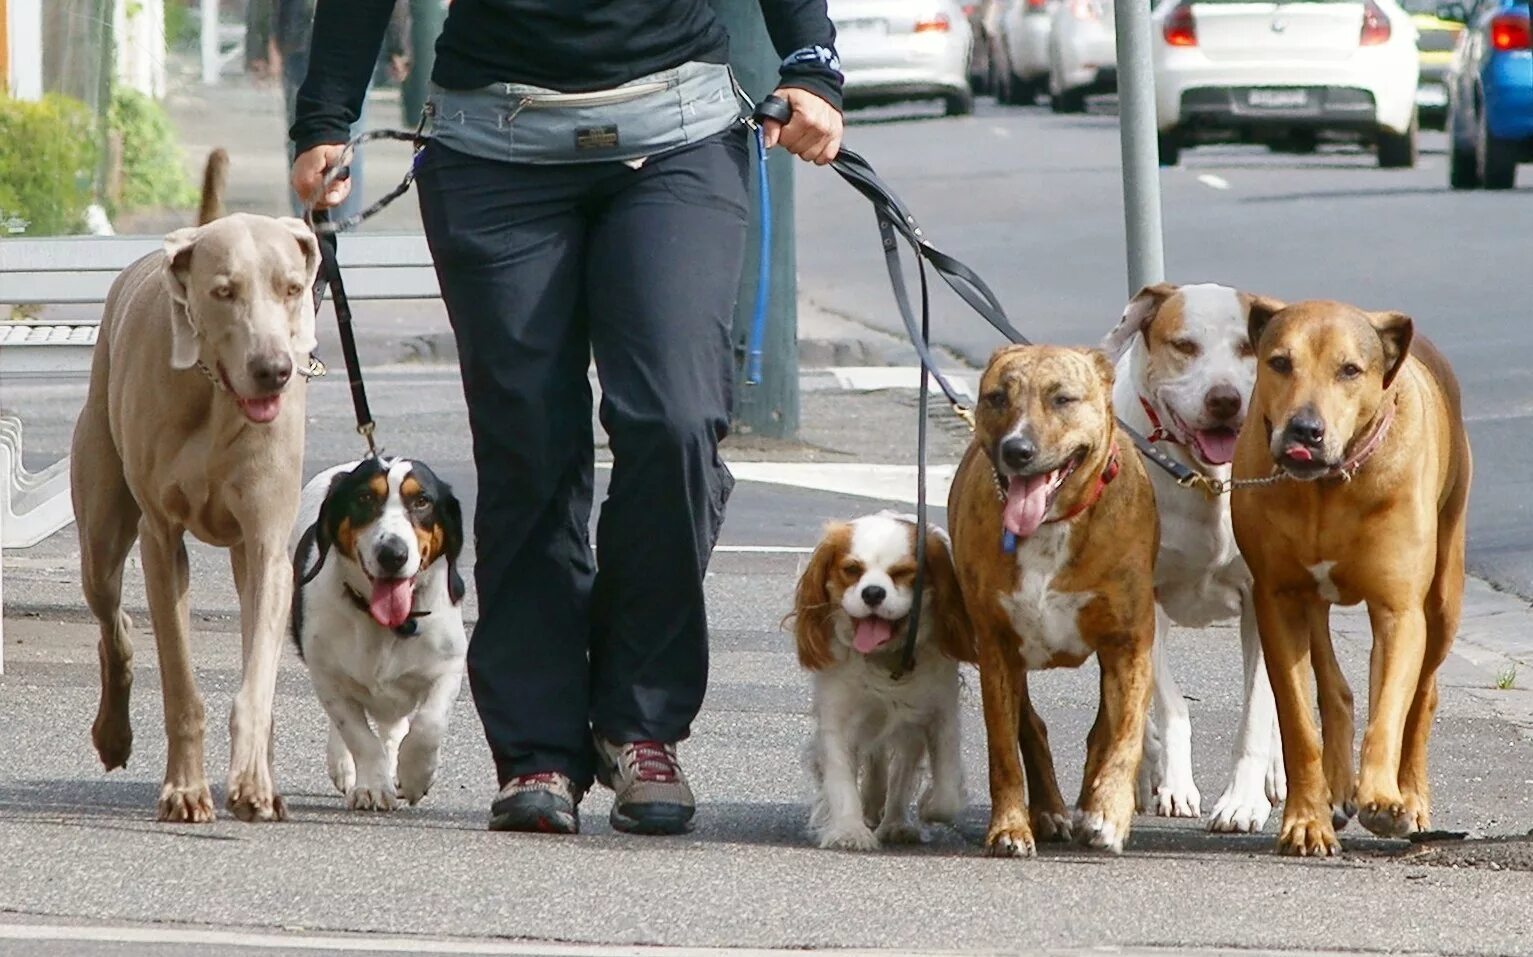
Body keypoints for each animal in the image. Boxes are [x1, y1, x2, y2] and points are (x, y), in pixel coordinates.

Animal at [288, 450, 466, 809]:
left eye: (422, 501)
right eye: (365, 498)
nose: (392, 554)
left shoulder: (449, 667)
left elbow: (428, 725)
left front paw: (415, 775)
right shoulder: (327, 677)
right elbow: (358, 736)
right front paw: (371, 785)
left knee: (395, 727)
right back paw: (345, 766)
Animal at [791, 512, 968, 846]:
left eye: (902, 573)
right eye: (851, 570)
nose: (872, 592)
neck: (883, 658)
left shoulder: (939, 713)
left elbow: (948, 794)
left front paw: (928, 806)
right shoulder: (838, 717)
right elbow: (840, 777)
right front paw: (849, 829)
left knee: (900, 772)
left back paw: (895, 822)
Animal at [950, 342, 1152, 852]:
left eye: (1062, 399)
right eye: (997, 397)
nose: (1017, 449)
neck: (1051, 525)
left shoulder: (1129, 643)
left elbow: (1124, 734)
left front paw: (1109, 811)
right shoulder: (997, 646)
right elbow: (1004, 747)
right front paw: (1009, 826)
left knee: (1102, 731)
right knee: (1030, 726)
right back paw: (1047, 811)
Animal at [1103, 280, 1293, 834]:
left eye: (1247, 347)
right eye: (1184, 345)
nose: (1225, 399)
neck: (1207, 479)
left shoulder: (1263, 599)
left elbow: (1257, 713)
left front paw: (1242, 802)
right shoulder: (1143, 599)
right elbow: (1168, 705)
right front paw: (1173, 783)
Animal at [1226, 302, 1465, 858]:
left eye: (1350, 370)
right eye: (1279, 362)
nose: (1305, 429)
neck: (1329, 486)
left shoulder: (1399, 608)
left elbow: (1392, 706)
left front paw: (1383, 797)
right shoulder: (1278, 598)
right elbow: (1298, 723)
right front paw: (1306, 820)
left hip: (1444, 595)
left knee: (1423, 695)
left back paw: (1410, 796)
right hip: (1312, 600)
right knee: (1335, 690)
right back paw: (1335, 789)